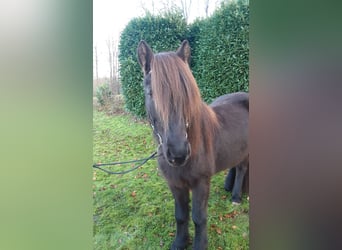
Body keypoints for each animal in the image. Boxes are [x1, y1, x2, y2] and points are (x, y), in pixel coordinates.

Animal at [137, 40, 248, 249]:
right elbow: (181, 216)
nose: (178, 153)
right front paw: (180, 242)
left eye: (187, 93)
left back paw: (236, 196)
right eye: (150, 93)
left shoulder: (201, 183)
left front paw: (199, 244)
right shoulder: (175, 184)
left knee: (242, 168)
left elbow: (198, 217)